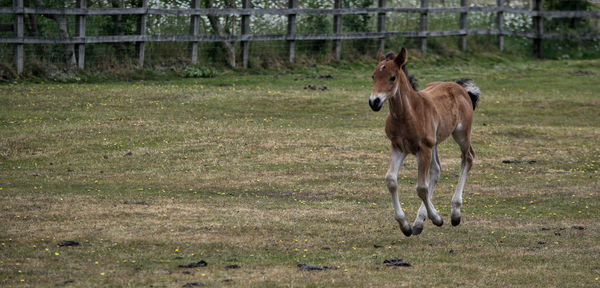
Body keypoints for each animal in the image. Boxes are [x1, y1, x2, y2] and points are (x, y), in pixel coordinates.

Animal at [368, 47, 480, 236]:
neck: (408, 114)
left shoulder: (423, 149)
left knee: (468, 158)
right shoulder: (398, 147)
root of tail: (458, 86)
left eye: (392, 77)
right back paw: (419, 221)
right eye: (373, 76)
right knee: (436, 170)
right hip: (434, 143)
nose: (374, 102)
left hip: (461, 134)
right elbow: (391, 180)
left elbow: (421, 187)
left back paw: (455, 213)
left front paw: (437, 218)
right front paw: (405, 225)